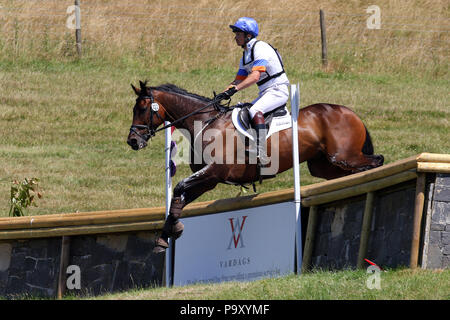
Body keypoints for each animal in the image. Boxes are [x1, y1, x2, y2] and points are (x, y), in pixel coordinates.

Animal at [126, 80, 384, 252]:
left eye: (142, 109)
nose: (132, 141)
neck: (205, 122)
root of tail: (349, 112)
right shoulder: (208, 181)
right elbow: (178, 199)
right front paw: (167, 235)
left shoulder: (213, 172)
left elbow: (179, 187)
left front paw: (172, 231)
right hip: (323, 165)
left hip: (344, 155)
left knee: (375, 162)